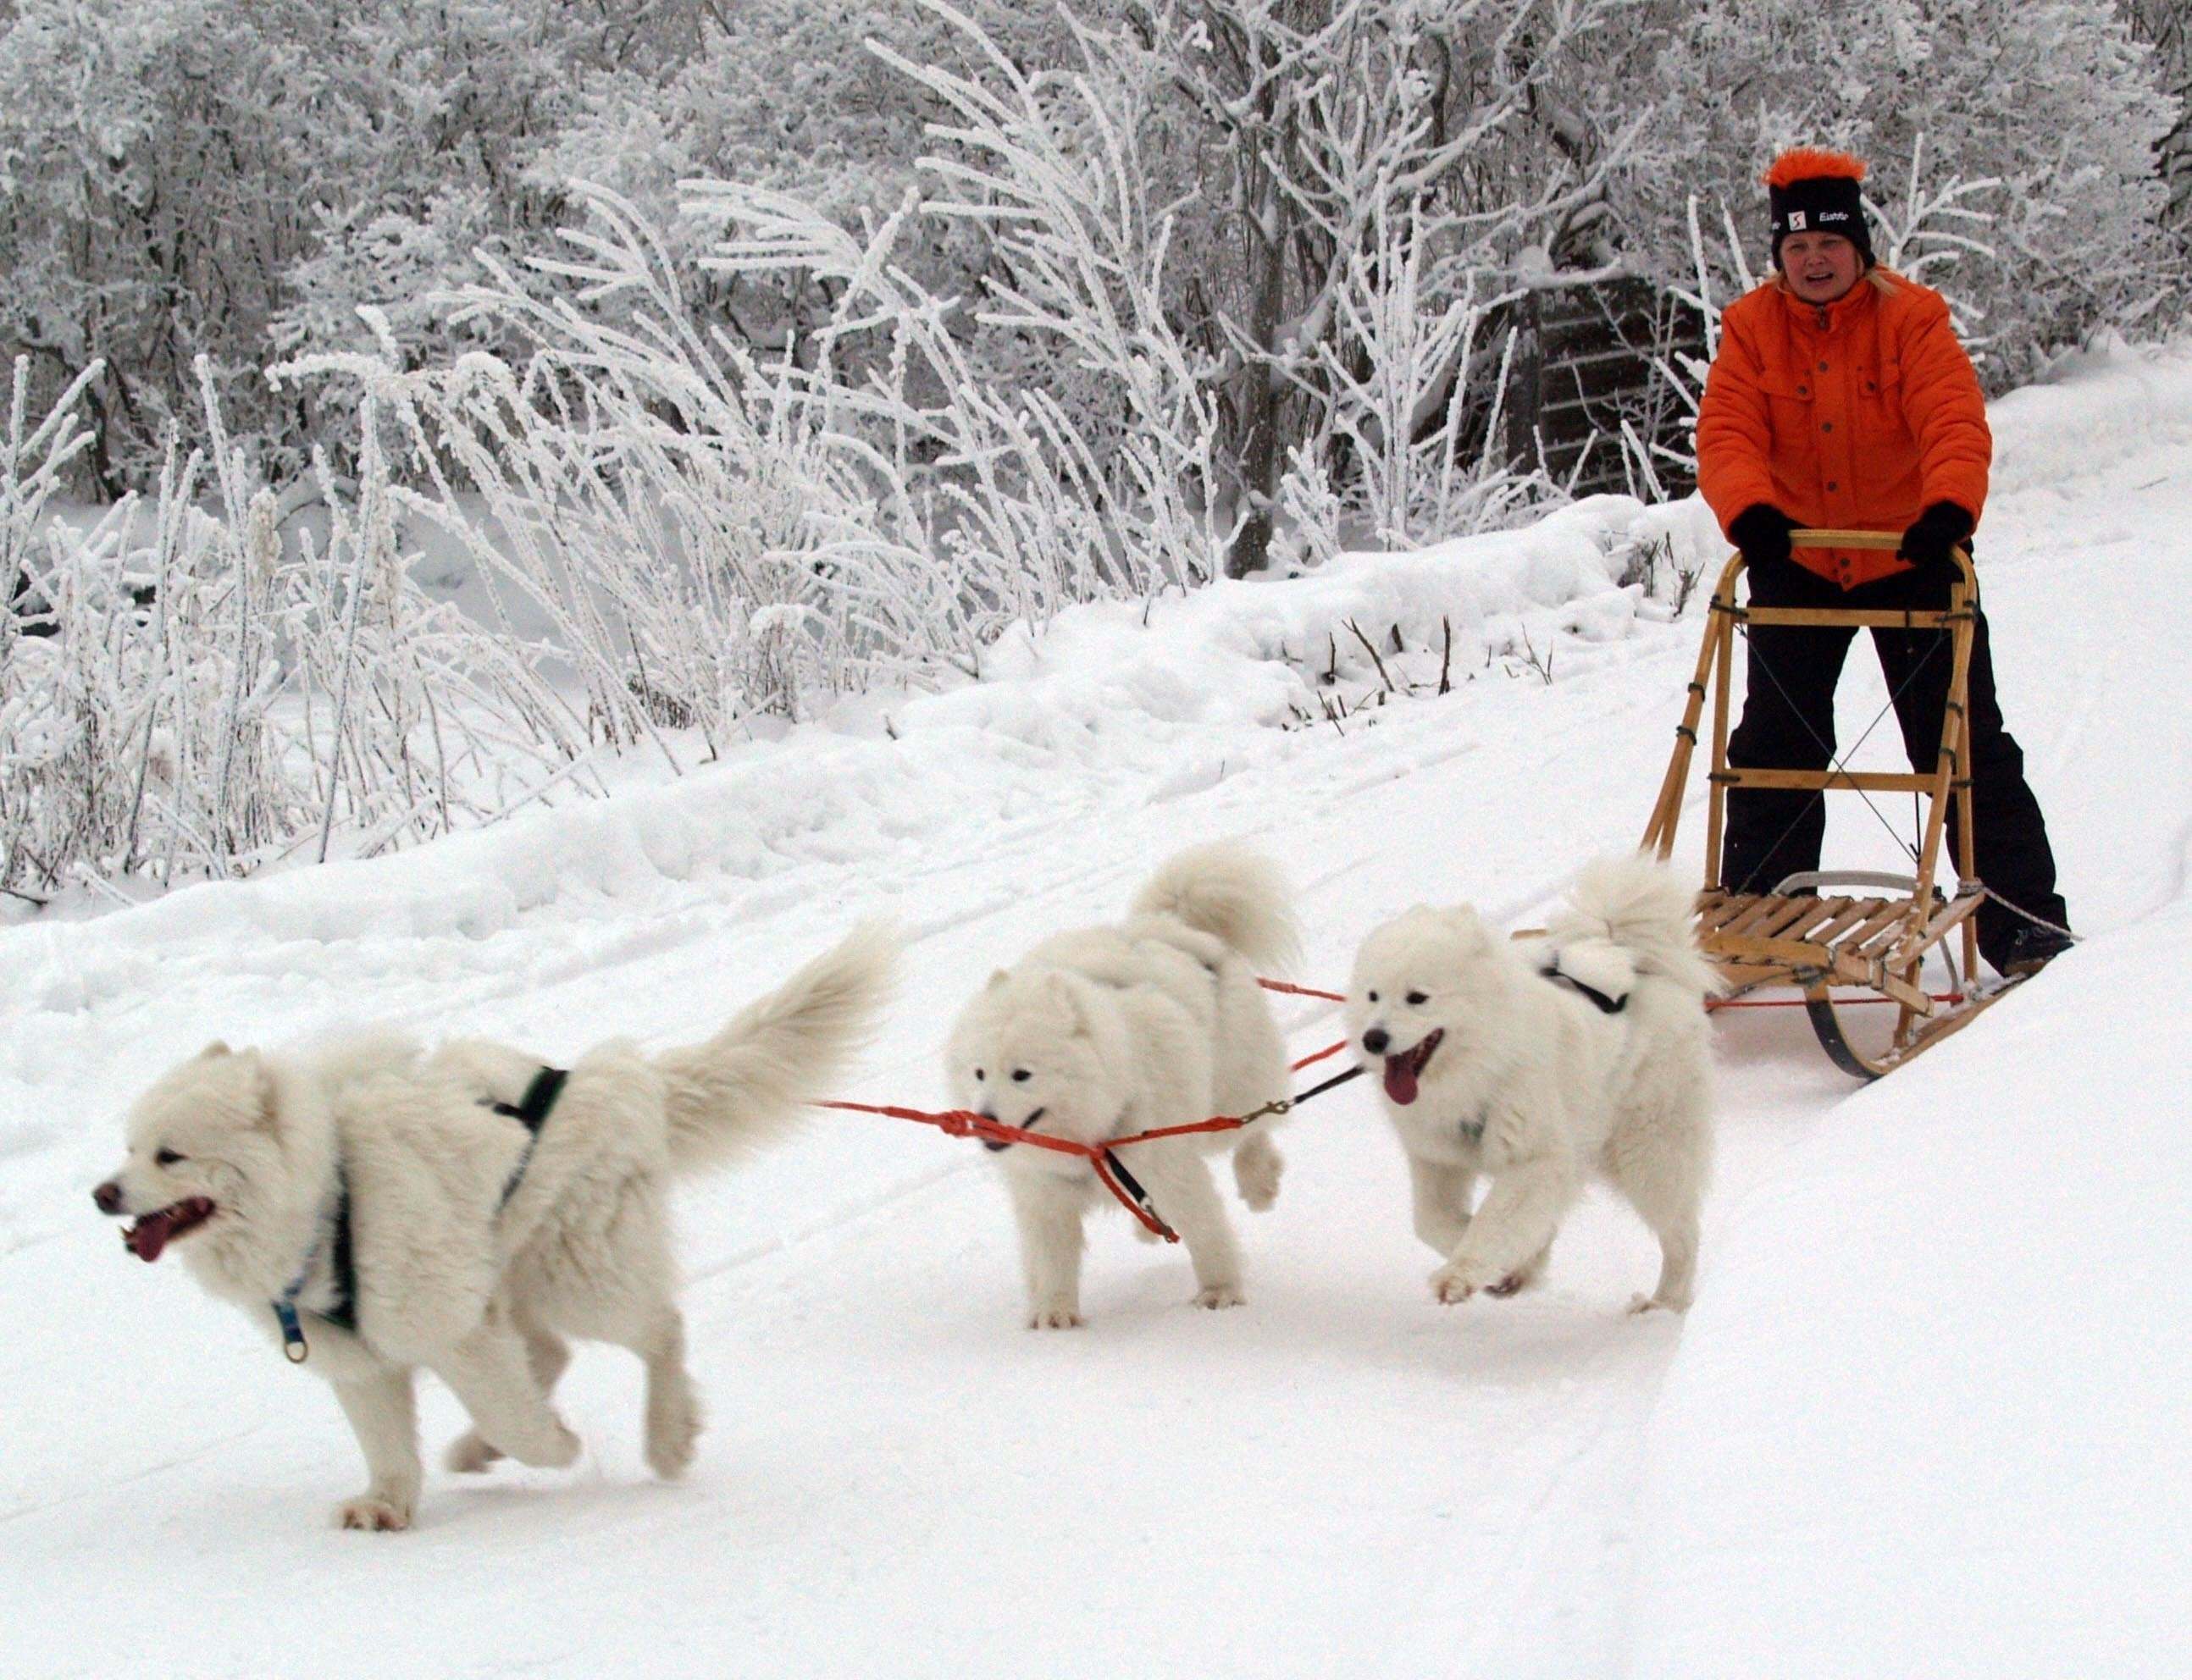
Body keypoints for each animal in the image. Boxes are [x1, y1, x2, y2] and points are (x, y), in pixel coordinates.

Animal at [91, 928, 899, 1533]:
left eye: (170, 1154)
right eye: (127, 1147)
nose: (103, 1196)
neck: (329, 1198)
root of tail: (620, 1078)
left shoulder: (450, 1325)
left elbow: (512, 1414)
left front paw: (557, 1445)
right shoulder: (367, 1358)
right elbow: (389, 1444)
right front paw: (385, 1506)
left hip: (576, 1271)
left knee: (658, 1330)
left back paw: (666, 1438)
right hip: (517, 1267)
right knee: (553, 1351)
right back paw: (476, 1449)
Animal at [947, 849, 1298, 1331]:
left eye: (1022, 1074)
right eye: (979, 1073)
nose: (983, 1121)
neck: (1088, 1136)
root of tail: (1169, 925)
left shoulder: (1171, 1165)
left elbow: (1207, 1233)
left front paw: (1219, 1293)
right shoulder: (1045, 1197)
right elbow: (1052, 1262)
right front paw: (1054, 1315)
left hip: (1226, 1092)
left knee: (1251, 1126)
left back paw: (1259, 1183)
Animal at [1341, 858, 1718, 1323]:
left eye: (1417, 997)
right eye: (1372, 995)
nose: (1373, 1039)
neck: (1475, 1068)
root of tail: (1640, 964)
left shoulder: (1536, 1158)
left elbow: (1493, 1222)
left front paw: (1461, 1275)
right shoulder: (1438, 1158)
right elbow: (1431, 1222)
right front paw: (1518, 1267)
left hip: (1650, 1153)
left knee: (1681, 1233)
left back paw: (1664, 1305)